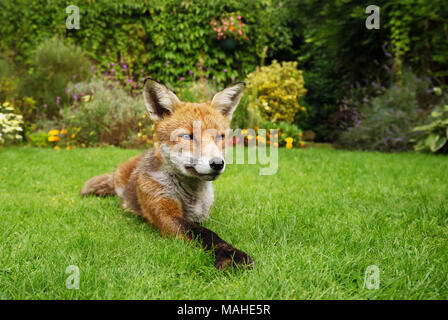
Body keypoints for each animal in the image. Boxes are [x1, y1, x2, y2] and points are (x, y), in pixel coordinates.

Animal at [81, 79, 254, 268]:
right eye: (187, 136)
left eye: (219, 137)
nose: (217, 163)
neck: (192, 196)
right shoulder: (165, 214)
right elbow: (205, 233)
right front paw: (230, 255)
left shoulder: (203, 215)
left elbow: (203, 228)